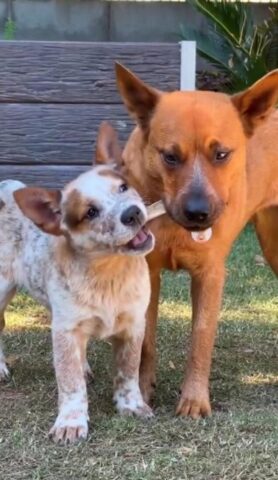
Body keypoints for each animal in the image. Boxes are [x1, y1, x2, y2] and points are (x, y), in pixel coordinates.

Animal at [0, 124, 155, 446]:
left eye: (123, 187)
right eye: (90, 212)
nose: (132, 213)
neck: (108, 273)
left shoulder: (134, 324)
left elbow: (128, 371)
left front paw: (131, 405)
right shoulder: (65, 329)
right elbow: (69, 382)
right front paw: (71, 422)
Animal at [97, 65, 278, 418]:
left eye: (221, 154)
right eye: (169, 156)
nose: (198, 213)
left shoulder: (210, 275)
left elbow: (201, 339)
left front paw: (194, 400)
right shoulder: (147, 272)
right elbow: (145, 341)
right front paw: (142, 392)